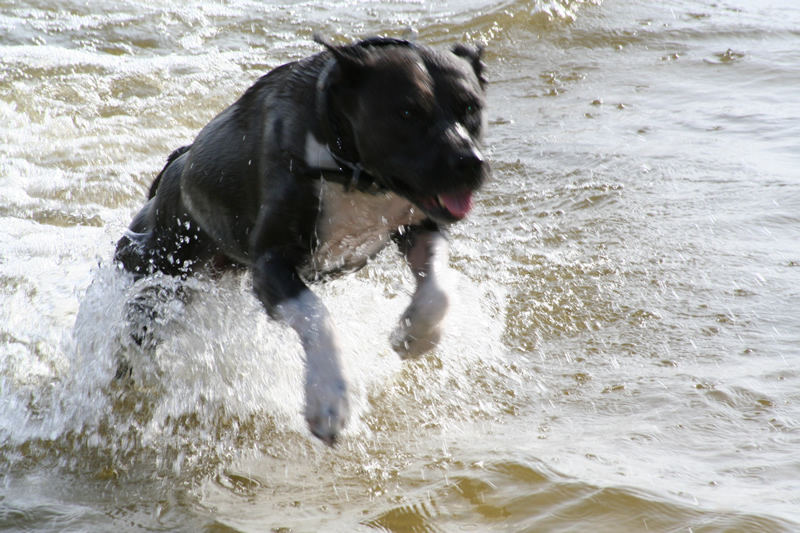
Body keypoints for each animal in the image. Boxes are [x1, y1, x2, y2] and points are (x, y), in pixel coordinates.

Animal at [111, 36, 488, 444]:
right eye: (407, 112)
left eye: (471, 108)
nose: (470, 163)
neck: (350, 167)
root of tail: (173, 168)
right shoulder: (271, 263)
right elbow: (315, 313)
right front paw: (328, 399)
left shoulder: (420, 226)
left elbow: (438, 289)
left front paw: (414, 333)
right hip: (157, 276)